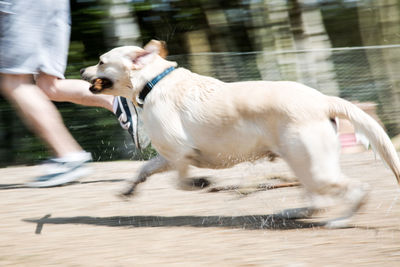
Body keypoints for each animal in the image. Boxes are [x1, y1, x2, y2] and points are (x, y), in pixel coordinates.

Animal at [82, 40, 400, 228]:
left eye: (100, 61)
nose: (83, 71)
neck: (154, 82)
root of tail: (322, 100)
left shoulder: (180, 153)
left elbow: (181, 182)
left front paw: (201, 182)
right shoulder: (167, 156)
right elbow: (143, 170)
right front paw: (128, 189)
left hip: (314, 167)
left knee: (357, 190)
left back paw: (341, 221)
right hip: (302, 164)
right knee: (318, 203)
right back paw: (292, 212)